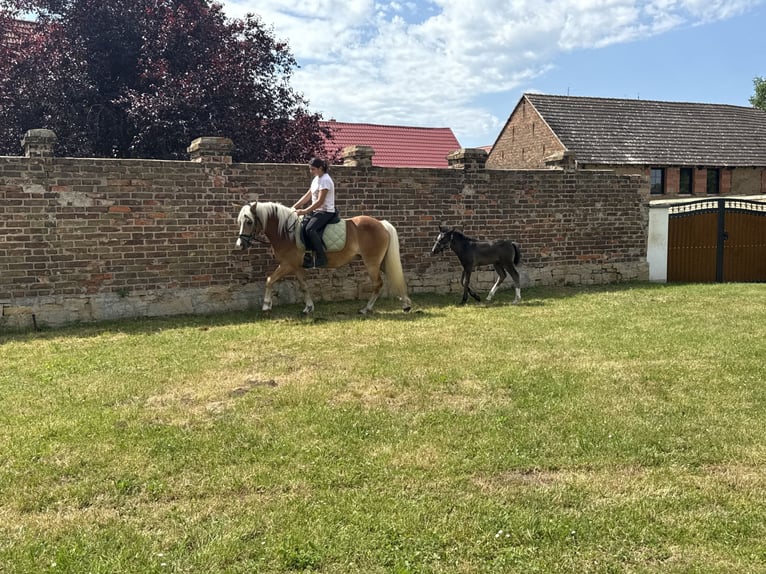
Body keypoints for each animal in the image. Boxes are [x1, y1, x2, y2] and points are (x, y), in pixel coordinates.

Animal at [235, 201, 412, 315]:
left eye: (249, 221)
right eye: (239, 221)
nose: (239, 245)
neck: (286, 232)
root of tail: (381, 224)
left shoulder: (288, 264)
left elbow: (270, 280)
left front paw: (266, 306)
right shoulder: (296, 267)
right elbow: (304, 286)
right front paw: (308, 307)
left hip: (372, 262)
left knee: (378, 284)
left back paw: (366, 309)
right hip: (381, 261)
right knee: (392, 277)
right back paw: (406, 305)